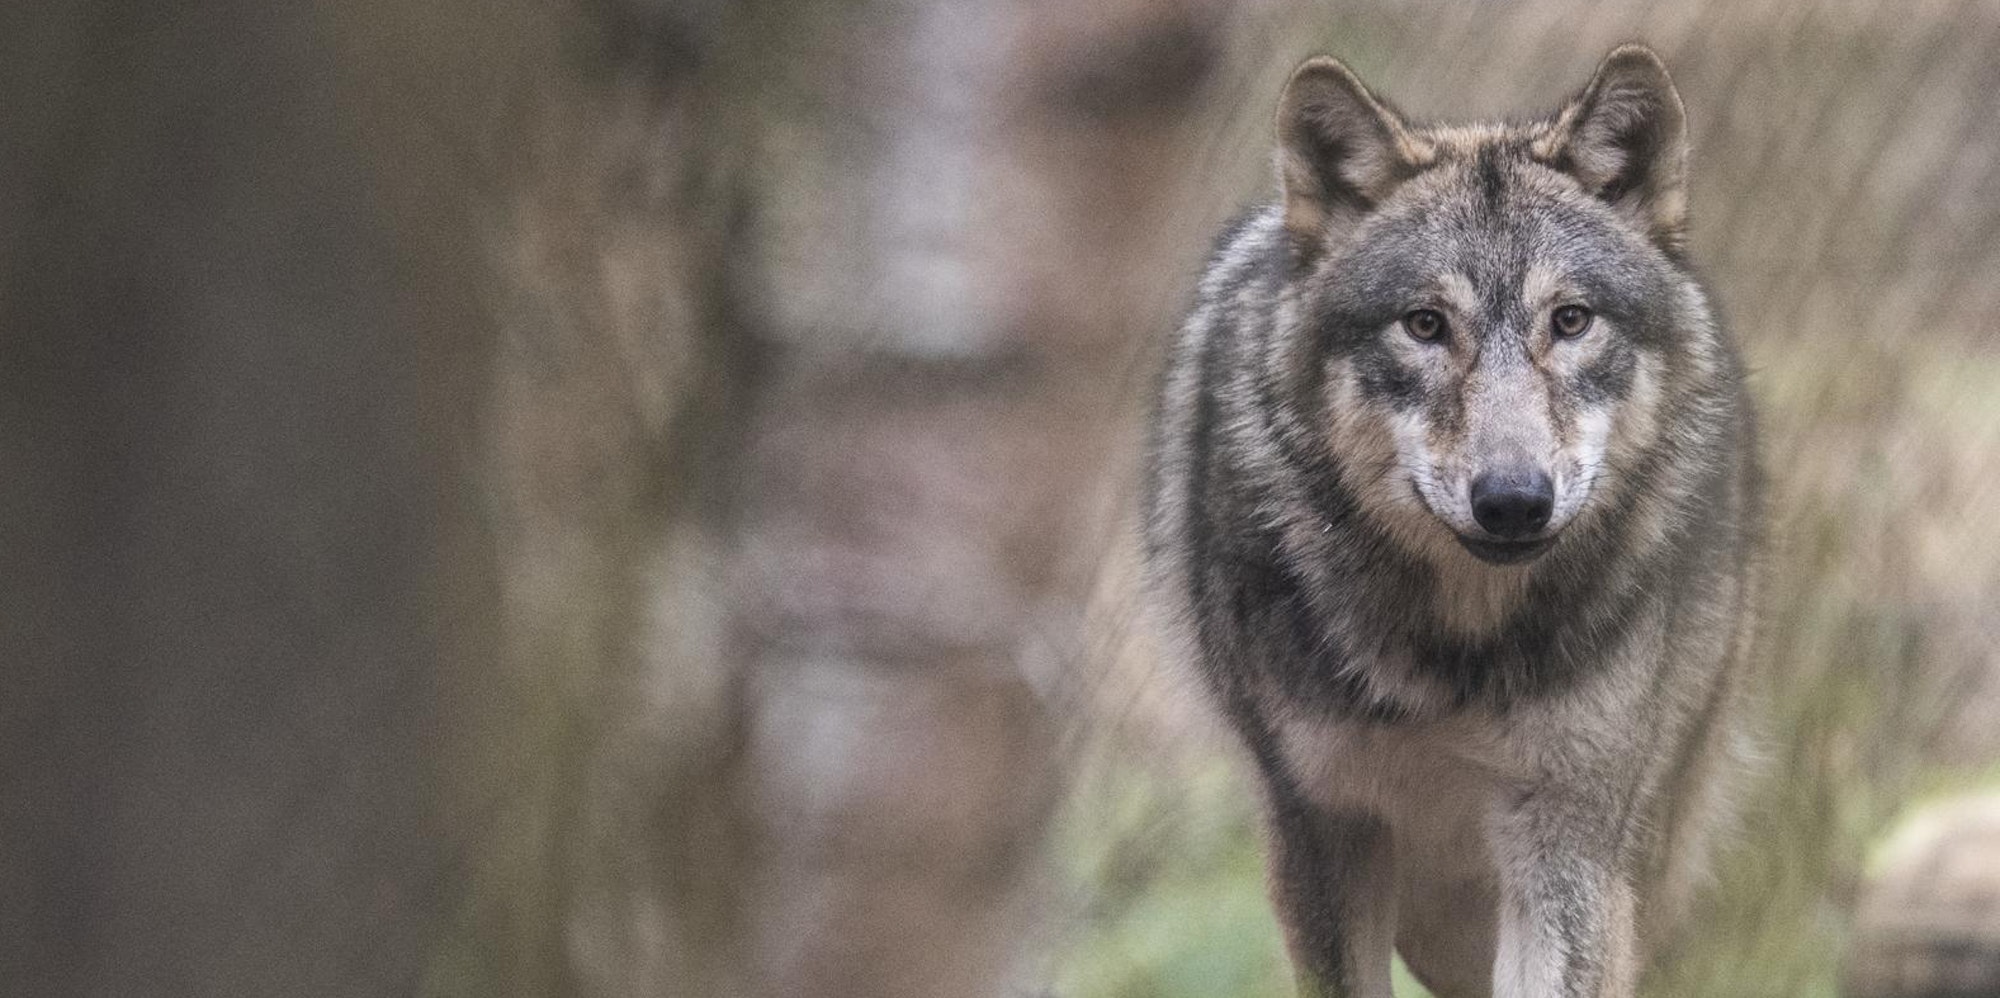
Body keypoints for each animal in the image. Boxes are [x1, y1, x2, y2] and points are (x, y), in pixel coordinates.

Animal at [1141, 45, 1763, 998]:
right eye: (1425, 325)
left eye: (1570, 320)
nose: (1512, 500)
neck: (1454, 653)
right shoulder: (1320, 830)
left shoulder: (1569, 847)